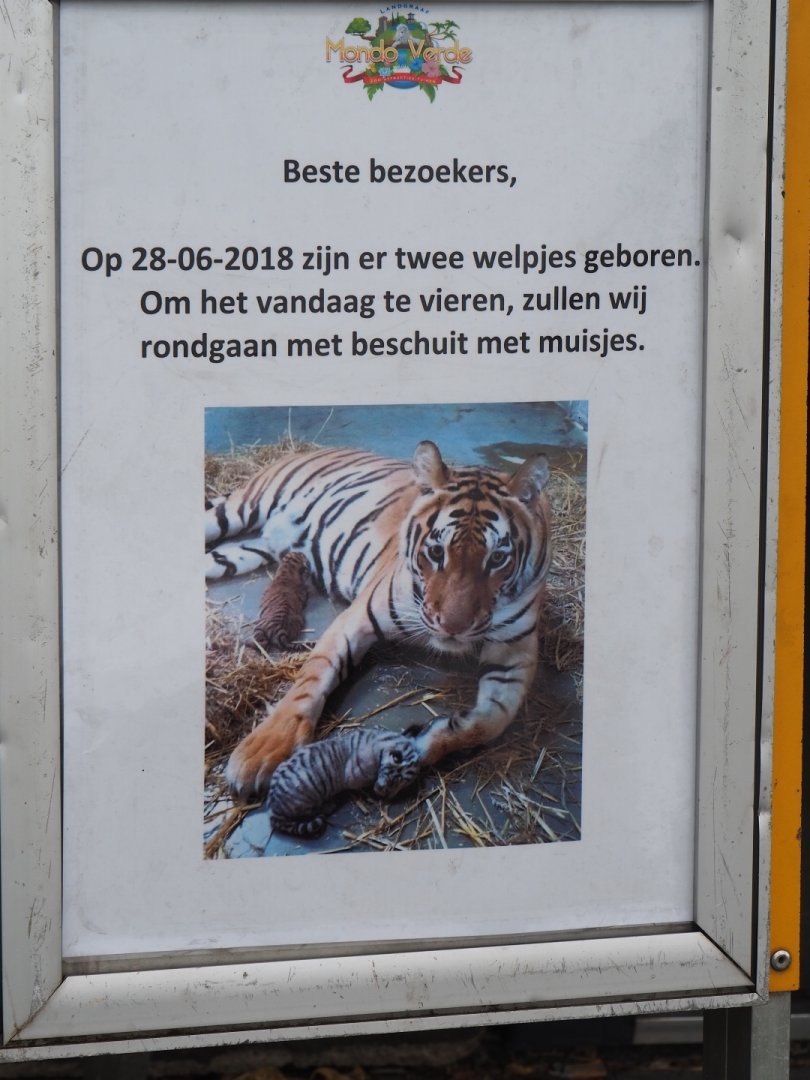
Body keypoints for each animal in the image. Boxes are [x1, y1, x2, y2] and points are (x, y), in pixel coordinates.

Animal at [205, 440, 552, 799]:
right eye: (436, 552)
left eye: (497, 558)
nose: (452, 627)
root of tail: (306, 450)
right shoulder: (356, 619)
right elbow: (310, 682)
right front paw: (262, 750)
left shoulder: (514, 654)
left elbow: (493, 721)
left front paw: (429, 738)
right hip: (242, 508)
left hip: (241, 554)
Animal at [267, 727, 421, 838]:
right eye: (396, 780)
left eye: (404, 785)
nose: (389, 796)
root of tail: (274, 811)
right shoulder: (355, 777)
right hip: (306, 798)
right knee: (312, 811)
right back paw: (331, 804)